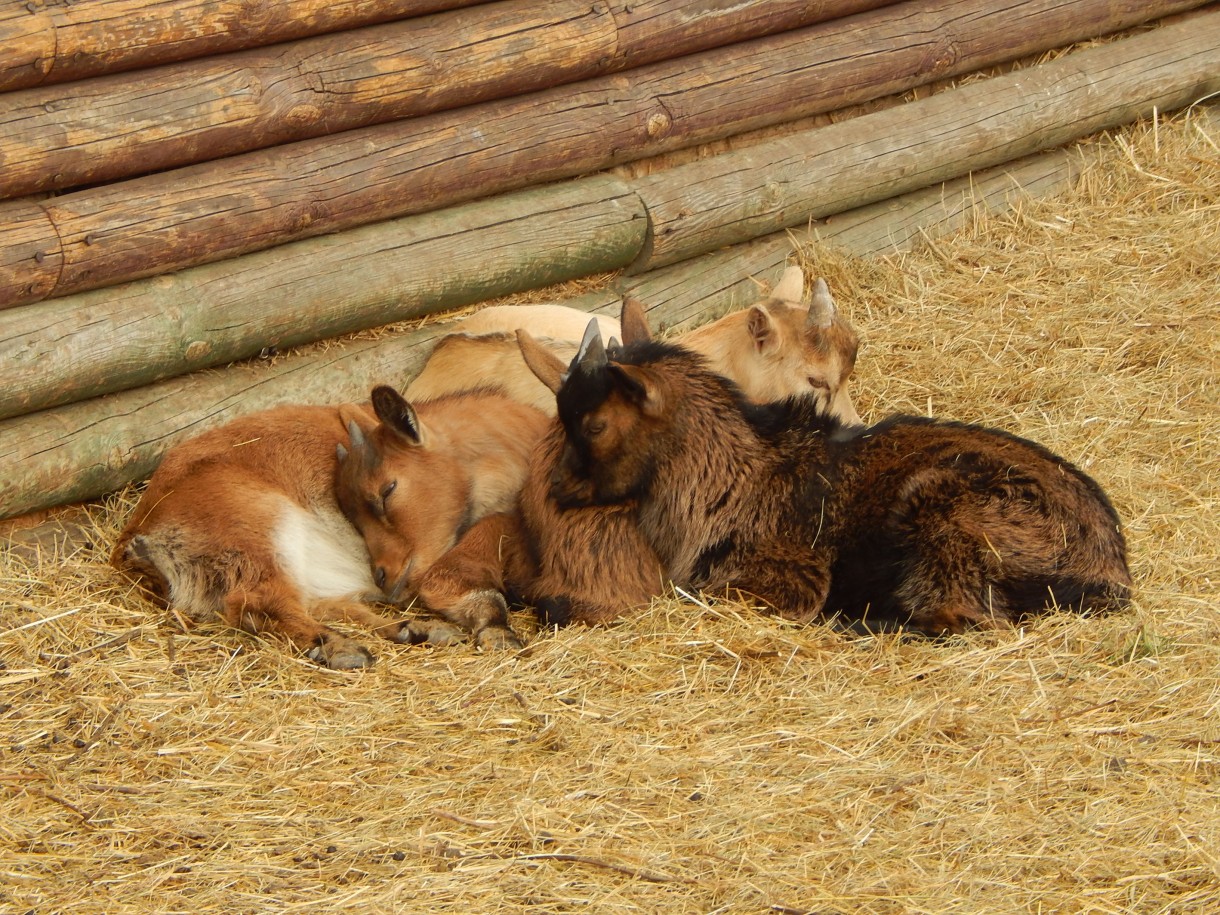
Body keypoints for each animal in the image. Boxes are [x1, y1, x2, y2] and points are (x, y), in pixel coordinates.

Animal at [111, 390, 544, 668]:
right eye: (387, 491)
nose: (383, 575)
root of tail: (136, 535)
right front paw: (496, 629)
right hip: (260, 532)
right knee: (258, 603)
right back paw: (337, 646)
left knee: (326, 603)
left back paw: (416, 630)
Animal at [539, 319, 1127, 634]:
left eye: (594, 424)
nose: (558, 487)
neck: (736, 477)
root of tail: (1109, 571)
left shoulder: (784, 578)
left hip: (949, 513)